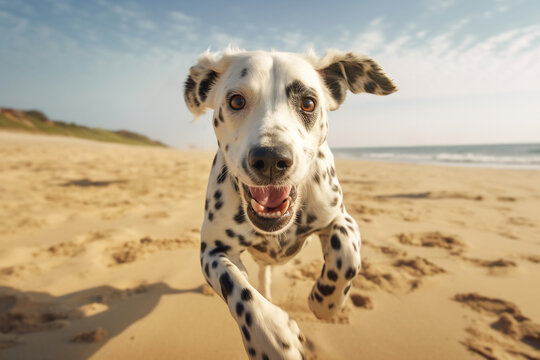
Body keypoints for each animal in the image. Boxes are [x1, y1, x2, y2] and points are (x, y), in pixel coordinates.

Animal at [182, 48, 396, 360]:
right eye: (236, 101)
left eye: (308, 103)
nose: (271, 159)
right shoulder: (213, 250)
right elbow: (235, 286)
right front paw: (271, 335)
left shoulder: (340, 217)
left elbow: (347, 255)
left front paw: (325, 302)